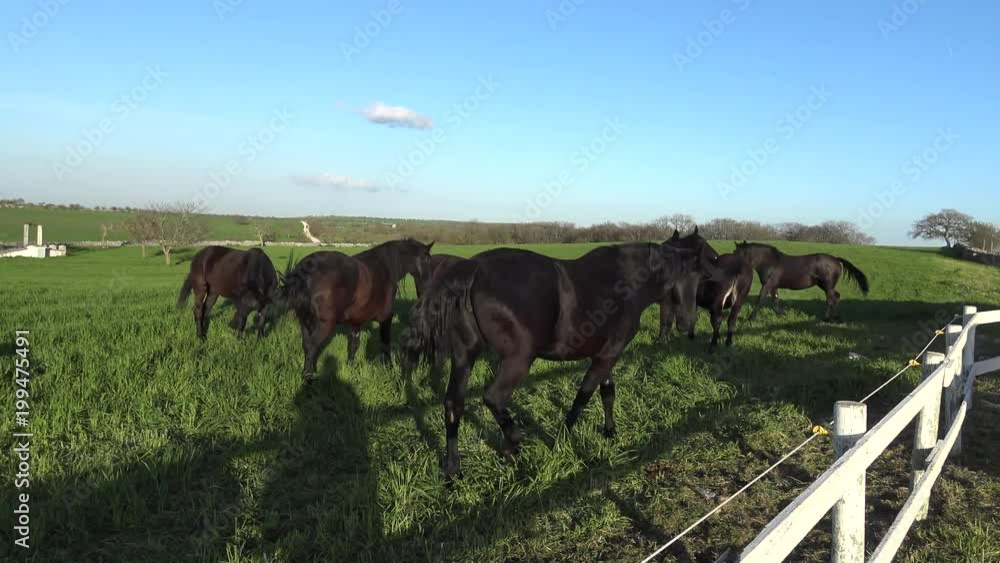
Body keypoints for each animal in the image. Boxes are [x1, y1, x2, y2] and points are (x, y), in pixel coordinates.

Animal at [275, 238, 434, 380]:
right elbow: (385, 343)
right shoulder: (385, 318)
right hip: (323, 324)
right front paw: (389, 368)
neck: (384, 269)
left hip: (305, 321)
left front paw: (351, 367)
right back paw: (308, 378)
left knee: (307, 346)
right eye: (427, 260)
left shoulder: (355, 321)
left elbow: (353, 346)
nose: (428, 288)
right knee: (312, 347)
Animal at [400, 241, 716, 480]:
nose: (687, 324)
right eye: (689, 278)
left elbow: (607, 393)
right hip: (518, 359)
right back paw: (513, 447)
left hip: (465, 356)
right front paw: (562, 441)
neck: (626, 282)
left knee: (453, 405)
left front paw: (610, 432)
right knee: (493, 398)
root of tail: (473, 267)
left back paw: (453, 470)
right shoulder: (607, 356)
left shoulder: (606, 355)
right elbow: (583, 396)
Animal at [733, 241, 870, 322]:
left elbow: (760, 300)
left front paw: (750, 318)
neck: (769, 262)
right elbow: (775, 301)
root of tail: (836, 260)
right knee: (836, 296)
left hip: (827, 286)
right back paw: (836, 317)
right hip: (824, 286)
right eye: (735, 252)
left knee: (831, 299)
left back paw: (827, 318)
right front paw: (783, 315)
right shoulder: (773, 286)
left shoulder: (767, 285)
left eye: (739, 254)